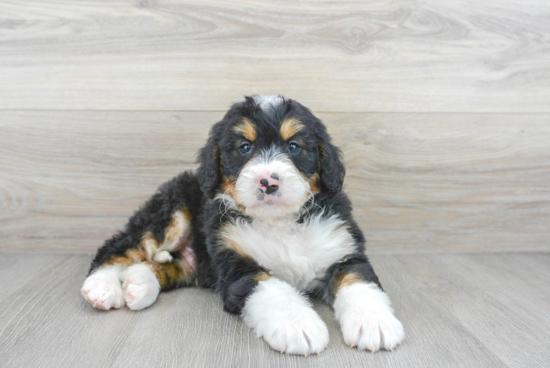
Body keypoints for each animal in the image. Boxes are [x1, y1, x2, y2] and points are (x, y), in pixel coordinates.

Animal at [84, 94, 408, 354]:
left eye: (293, 146)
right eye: (244, 147)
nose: (268, 181)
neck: (279, 221)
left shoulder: (343, 248)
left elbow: (359, 282)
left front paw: (374, 324)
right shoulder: (236, 265)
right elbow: (273, 288)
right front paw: (298, 325)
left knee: (171, 267)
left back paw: (140, 284)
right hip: (171, 215)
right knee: (120, 246)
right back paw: (102, 287)